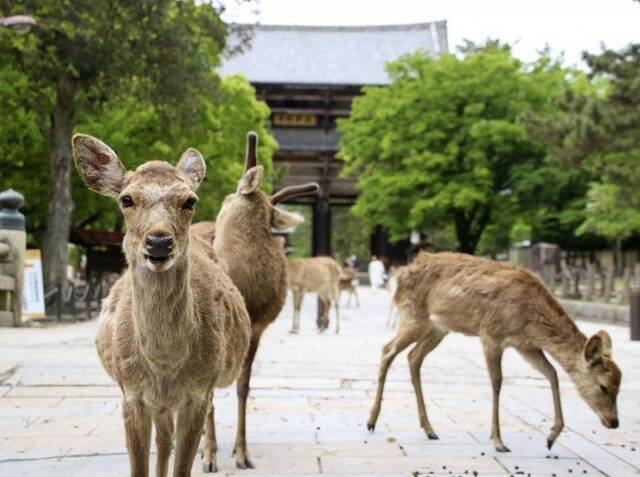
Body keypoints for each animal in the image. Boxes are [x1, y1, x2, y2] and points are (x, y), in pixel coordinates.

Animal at [70, 134, 250, 476]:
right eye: (126, 199)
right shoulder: (132, 395)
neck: (164, 365)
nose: (159, 242)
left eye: (190, 200)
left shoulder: (197, 393)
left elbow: (182, 467)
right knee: (164, 441)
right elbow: (140, 466)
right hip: (160, 405)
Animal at [368, 251, 624, 452]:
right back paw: (371, 421)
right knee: (387, 350)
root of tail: (398, 275)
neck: (531, 321)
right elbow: (497, 381)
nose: (614, 422)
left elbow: (552, 373)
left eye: (619, 386)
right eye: (604, 386)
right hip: (413, 315)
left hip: (438, 328)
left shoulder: (526, 345)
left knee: (413, 357)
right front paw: (499, 441)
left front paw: (551, 437)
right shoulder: (491, 334)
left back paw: (429, 429)